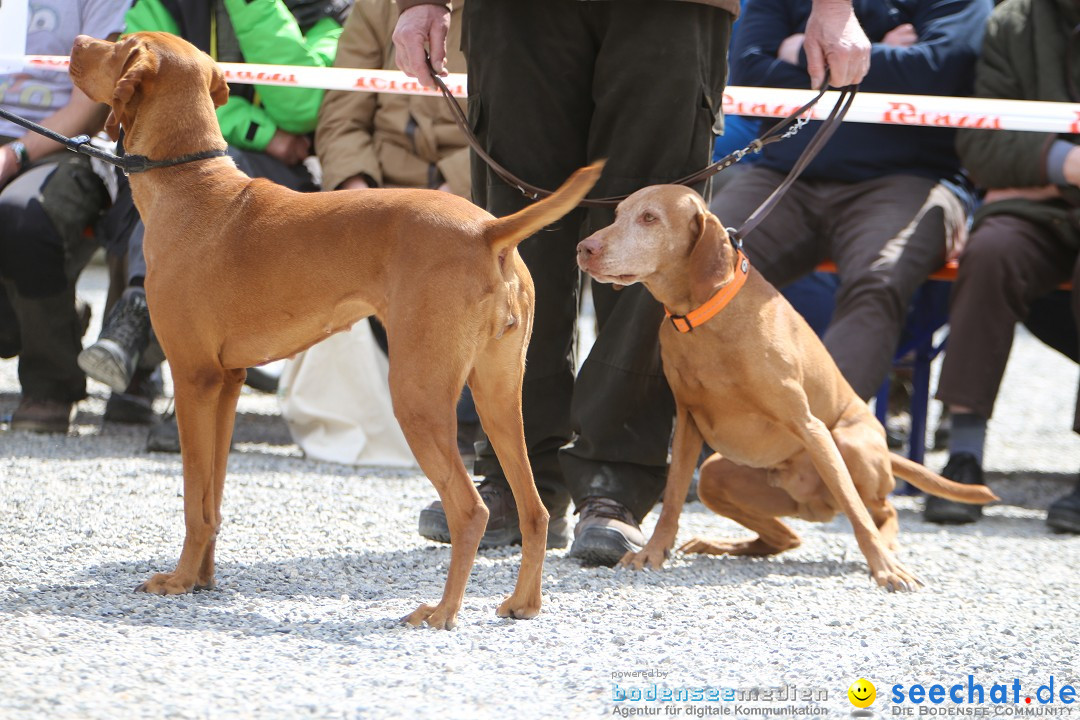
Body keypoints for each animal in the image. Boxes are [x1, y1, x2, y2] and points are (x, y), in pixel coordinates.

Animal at [71, 32, 604, 630]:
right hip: (498, 395)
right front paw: (202, 579)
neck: (191, 187)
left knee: (471, 509)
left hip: (418, 395)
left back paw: (442, 611)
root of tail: (488, 229)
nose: (77, 43)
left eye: (119, 45)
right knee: (534, 509)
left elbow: (192, 501)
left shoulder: (194, 380)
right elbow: (212, 500)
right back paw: (523, 603)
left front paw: (180, 581)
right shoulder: (227, 384)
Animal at [574, 185, 993, 591]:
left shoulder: (811, 427)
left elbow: (857, 513)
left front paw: (884, 569)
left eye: (649, 218)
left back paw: (886, 548)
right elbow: (673, 498)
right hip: (713, 475)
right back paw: (722, 544)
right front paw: (654, 551)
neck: (704, 316)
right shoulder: (687, 426)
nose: (584, 248)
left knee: (879, 509)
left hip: (846, 445)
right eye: (617, 214)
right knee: (787, 537)